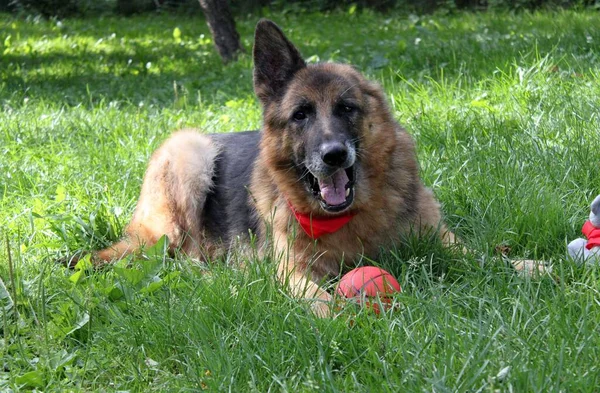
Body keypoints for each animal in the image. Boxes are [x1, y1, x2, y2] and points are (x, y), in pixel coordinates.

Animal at [86, 19, 458, 316]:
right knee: (184, 261)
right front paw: (347, 321)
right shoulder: (293, 271)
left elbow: (471, 254)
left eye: (347, 108)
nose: (334, 155)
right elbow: (321, 301)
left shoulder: (442, 237)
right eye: (300, 115)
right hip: (188, 154)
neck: (350, 219)